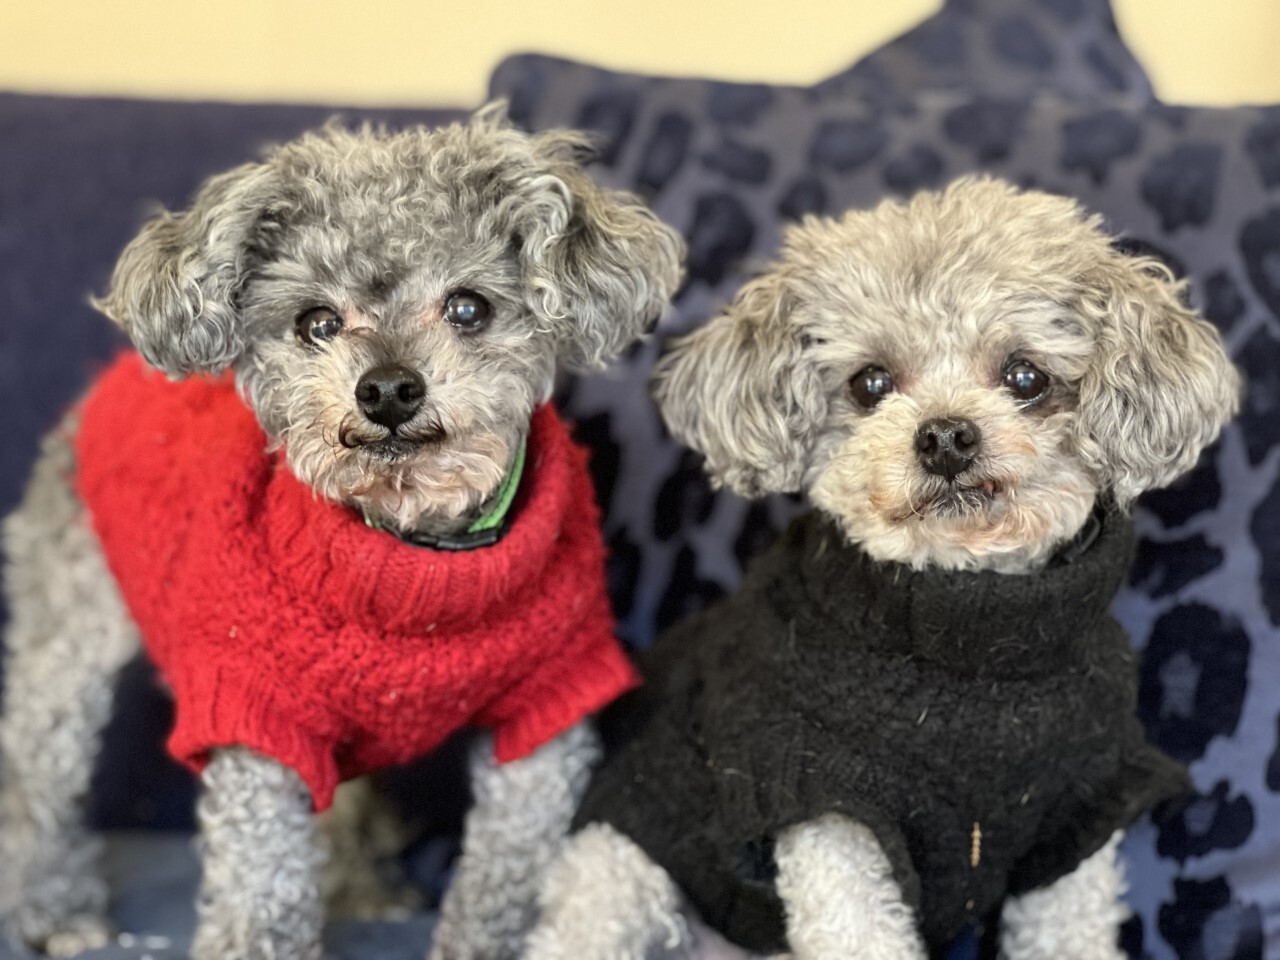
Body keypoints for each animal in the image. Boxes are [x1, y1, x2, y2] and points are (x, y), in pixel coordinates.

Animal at [0, 104, 686, 960]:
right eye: (316, 323)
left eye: (469, 307)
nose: (388, 388)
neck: (411, 547)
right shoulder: (257, 717)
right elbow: (260, 894)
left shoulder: (545, 709)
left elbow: (504, 878)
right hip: (66, 634)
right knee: (33, 784)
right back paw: (54, 909)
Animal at [519, 179, 1239, 960]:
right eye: (870, 383)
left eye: (1026, 376)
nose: (946, 436)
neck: (968, 654)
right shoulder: (824, 808)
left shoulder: (1082, 809)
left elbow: (1068, 932)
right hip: (617, 870)